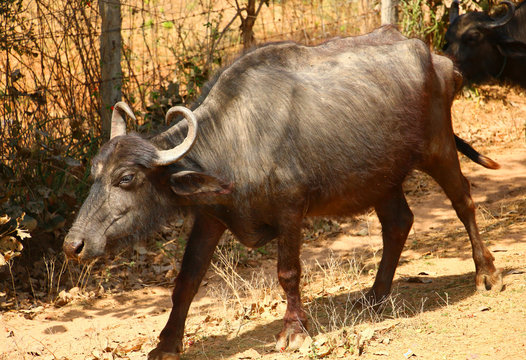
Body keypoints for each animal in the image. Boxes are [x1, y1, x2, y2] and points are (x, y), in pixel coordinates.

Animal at [64, 26, 506, 360]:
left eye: (126, 179)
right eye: (95, 174)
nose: (74, 245)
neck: (236, 139)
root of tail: (440, 61)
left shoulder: (290, 209)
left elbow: (288, 272)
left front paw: (293, 331)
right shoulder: (210, 216)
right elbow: (187, 280)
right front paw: (167, 344)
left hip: (438, 148)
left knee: (464, 201)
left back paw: (486, 273)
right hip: (382, 176)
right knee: (398, 223)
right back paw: (376, 296)